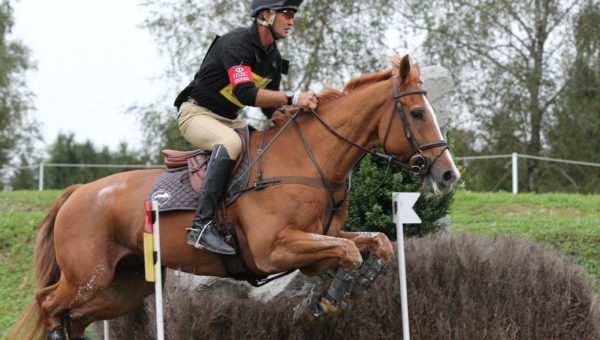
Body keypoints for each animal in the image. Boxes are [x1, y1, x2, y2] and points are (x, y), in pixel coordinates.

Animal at [10, 54, 460, 338]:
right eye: (417, 114)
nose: (448, 174)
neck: (309, 160)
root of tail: (76, 193)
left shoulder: (319, 240)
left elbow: (375, 243)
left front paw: (329, 298)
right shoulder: (273, 249)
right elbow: (349, 253)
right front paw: (323, 303)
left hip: (124, 287)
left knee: (73, 318)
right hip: (88, 276)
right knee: (49, 304)